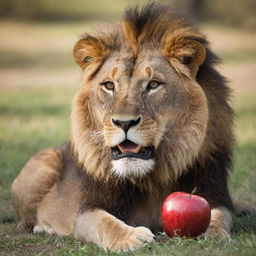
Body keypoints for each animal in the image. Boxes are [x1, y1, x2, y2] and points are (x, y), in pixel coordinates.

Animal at [11, 3, 234, 252]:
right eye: (109, 85)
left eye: (153, 85)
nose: (124, 122)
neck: (150, 179)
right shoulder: (87, 210)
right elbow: (104, 223)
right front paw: (133, 237)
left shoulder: (214, 193)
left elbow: (220, 216)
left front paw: (212, 233)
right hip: (42, 163)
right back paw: (45, 227)